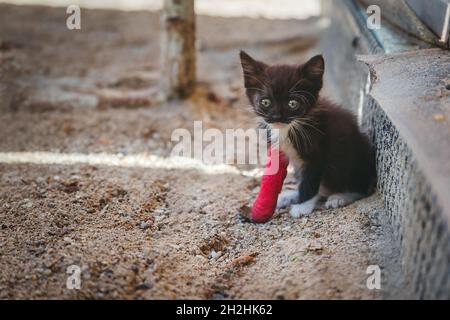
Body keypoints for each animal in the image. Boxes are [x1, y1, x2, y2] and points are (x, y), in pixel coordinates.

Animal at [239, 50, 376, 218]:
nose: (277, 116)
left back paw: (340, 197)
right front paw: (297, 199)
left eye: (292, 103)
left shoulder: (318, 153)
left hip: (354, 157)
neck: (290, 127)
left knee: (360, 186)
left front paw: (302, 206)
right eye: (265, 102)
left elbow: (310, 182)